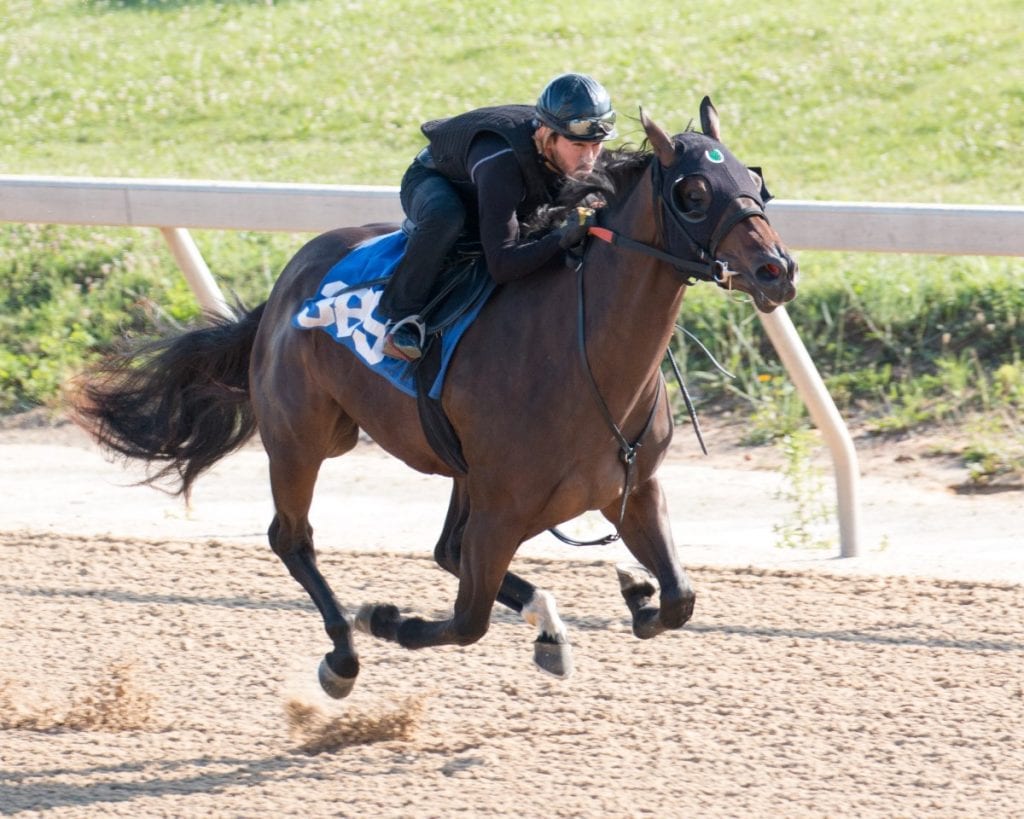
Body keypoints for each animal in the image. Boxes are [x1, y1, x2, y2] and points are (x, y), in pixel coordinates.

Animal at [75, 97, 802, 696]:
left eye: (756, 181)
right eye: (693, 191)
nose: (778, 270)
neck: (583, 354)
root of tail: (286, 283)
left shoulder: (632, 487)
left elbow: (679, 598)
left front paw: (635, 590)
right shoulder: (502, 510)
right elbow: (467, 619)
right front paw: (386, 619)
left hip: (453, 468)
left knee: (441, 550)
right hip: (302, 437)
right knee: (293, 538)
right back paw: (343, 655)